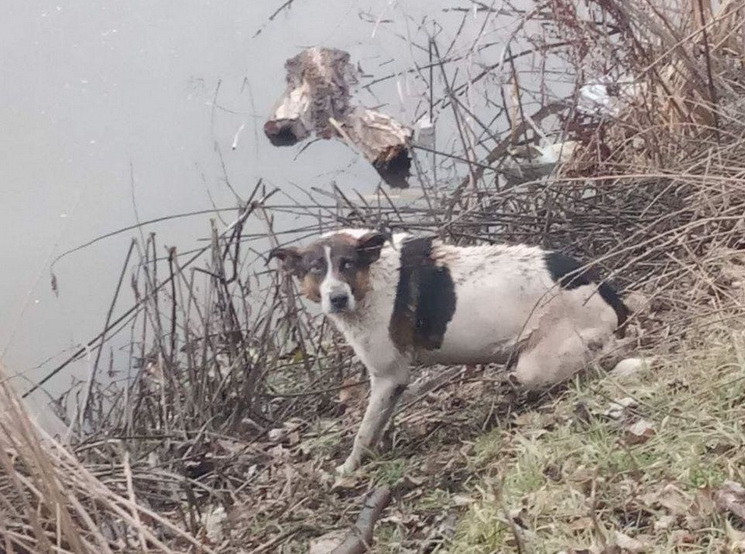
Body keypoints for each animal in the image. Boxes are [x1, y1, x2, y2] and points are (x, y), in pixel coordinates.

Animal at [268, 226, 628, 472]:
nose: (338, 298)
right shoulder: (390, 384)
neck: (372, 278)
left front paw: (349, 468)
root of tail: (603, 289)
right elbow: (378, 422)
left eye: (347, 264)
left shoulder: (388, 376)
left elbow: (364, 430)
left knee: (599, 350)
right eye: (316, 268)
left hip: (538, 364)